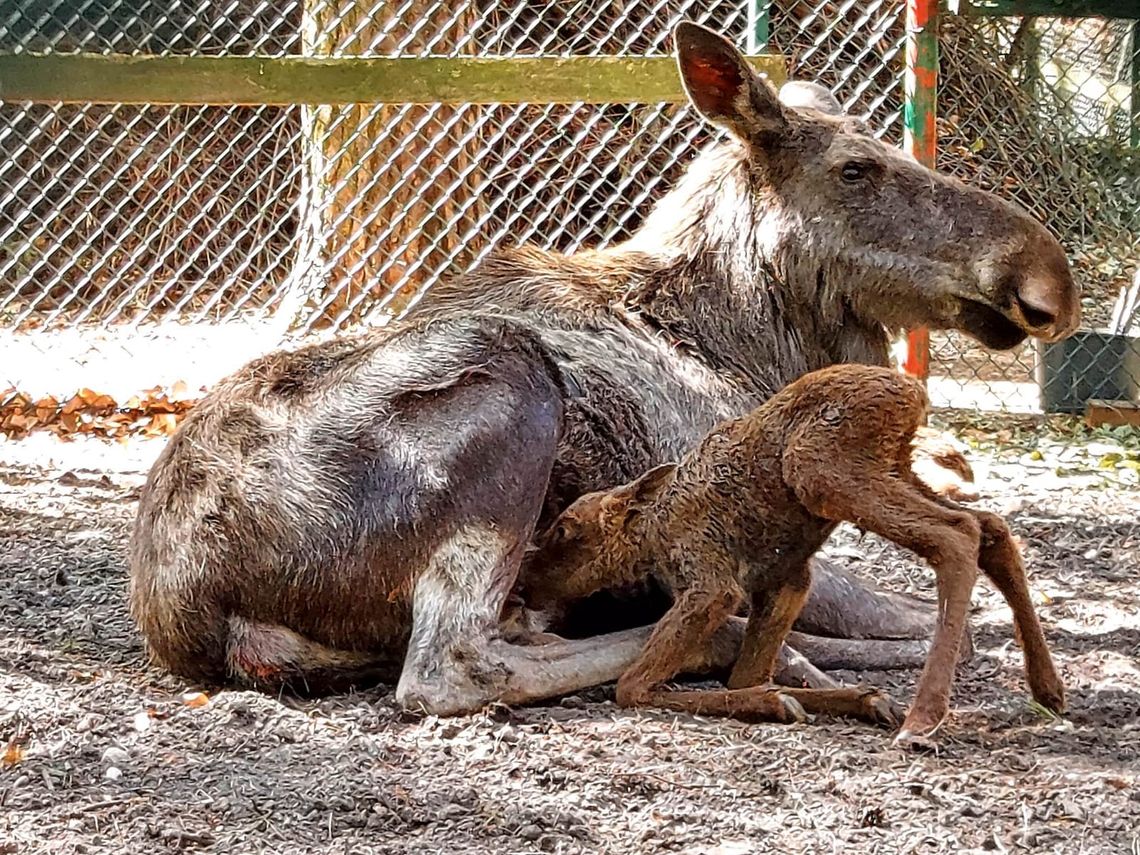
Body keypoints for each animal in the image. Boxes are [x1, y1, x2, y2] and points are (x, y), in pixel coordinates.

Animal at [522, 364, 1062, 747]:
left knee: (957, 534)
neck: (652, 536)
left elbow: (632, 686)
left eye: (565, 530)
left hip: (823, 471)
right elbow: (746, 673)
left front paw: (778, 702)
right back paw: (1047, 689)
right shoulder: (786, 581)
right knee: (989, 526)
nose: (525, 584)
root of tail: (914, 395)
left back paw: (922, 719)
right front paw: (857, 698)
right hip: (895, 469)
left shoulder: (712, 583)